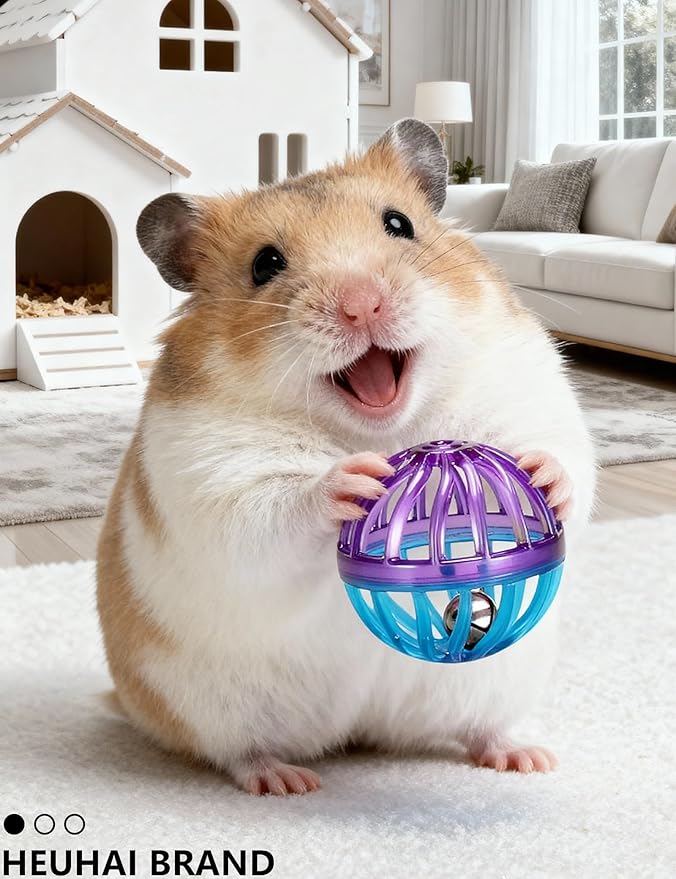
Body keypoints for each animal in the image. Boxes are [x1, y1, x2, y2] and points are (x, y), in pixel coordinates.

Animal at [97, 119, 595, 795]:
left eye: (398, 224)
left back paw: (529, 758)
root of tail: (359, 730)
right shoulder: (211, 474)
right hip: (208, 704)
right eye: (265, 264)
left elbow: (567, 457)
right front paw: (353, 483)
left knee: (481, 726)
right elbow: (269, 509)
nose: (362, 304)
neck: (387, 431)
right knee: (238, 752)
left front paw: (540, 476)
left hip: (497, 678)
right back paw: (285, 781)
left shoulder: (530, 389)